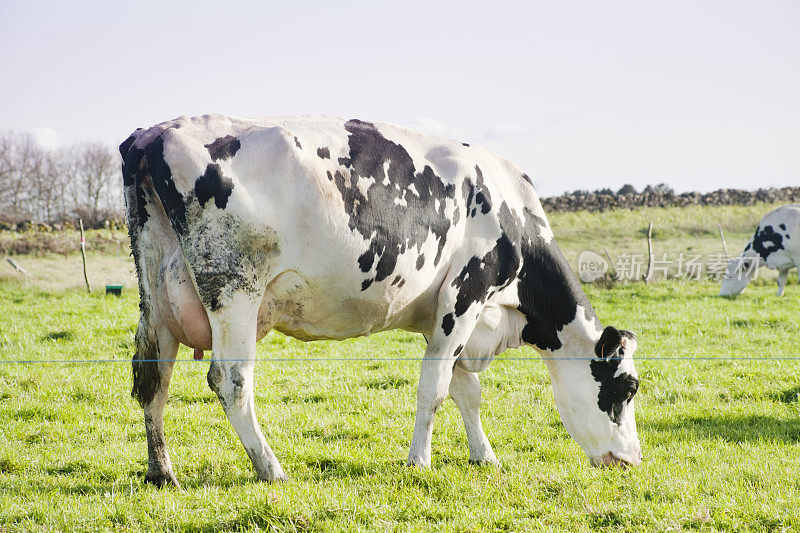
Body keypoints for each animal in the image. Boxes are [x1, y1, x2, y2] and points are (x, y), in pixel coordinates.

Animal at [120, 114, 644, 484]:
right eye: (628, 388)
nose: (633, 460)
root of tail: (153, 134)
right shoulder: (465, 295)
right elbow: (434, 390)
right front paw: (419, 463)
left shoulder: (445, 316)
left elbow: (465, 391)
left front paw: (484, 457)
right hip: (234, 290)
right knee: (230, 380)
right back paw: (270, 468)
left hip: (158, 299)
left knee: (153, 381)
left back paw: (162, 472)